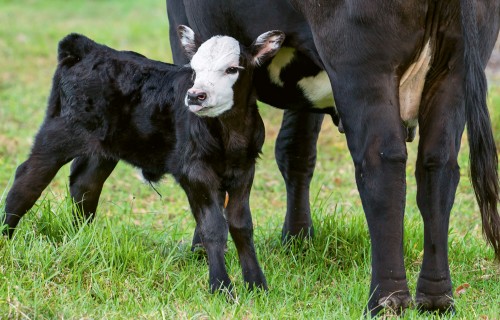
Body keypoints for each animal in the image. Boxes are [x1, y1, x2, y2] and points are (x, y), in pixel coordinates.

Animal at [1, 26, 286, 292]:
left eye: (232, 69)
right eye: (194, 70)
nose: (195, 96)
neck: (230, 134)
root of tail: (89, 49)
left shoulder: (245, 170)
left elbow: (241, 226)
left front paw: (257, 285)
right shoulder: (194, 171)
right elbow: (213, 227)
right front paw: (221, 287)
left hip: (103, 148)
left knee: (85, 184)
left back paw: (82, 240)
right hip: (59, 131)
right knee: (27, 180)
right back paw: (6, 240)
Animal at [167, 0, 500, 316]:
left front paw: (202, 248)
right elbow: (295, 149)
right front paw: (298, 239)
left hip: (362, 66)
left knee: (381, 164)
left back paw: (385, 301)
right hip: (454, 70)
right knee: (438, 166)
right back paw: (437, 300)